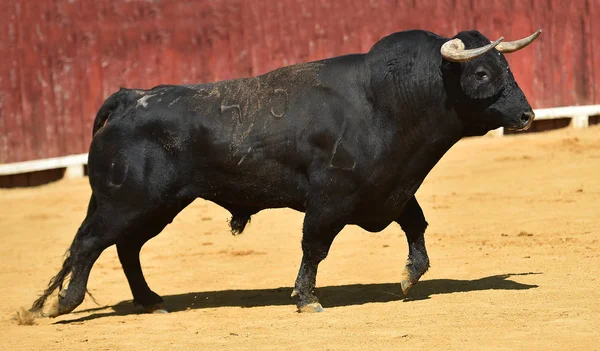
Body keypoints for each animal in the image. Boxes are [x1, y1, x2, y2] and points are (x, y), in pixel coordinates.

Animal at [30, 29, 540, 316]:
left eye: (505, 66)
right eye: (481, 74)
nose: (526, 115)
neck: (389, 99)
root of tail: (131, 97)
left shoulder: (390, 190)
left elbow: (417, 226)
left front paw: (410, 276)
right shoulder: (330, 199)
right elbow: (314, 246)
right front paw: (307, 299)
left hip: (159, 205)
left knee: (126, 247)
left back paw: (150, 300)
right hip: (128, 201)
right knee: (89, 244)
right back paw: (60, 305)